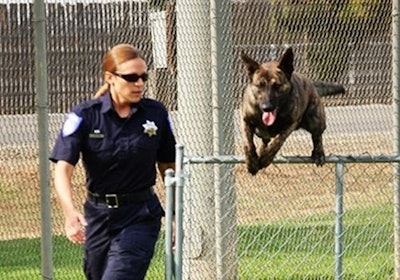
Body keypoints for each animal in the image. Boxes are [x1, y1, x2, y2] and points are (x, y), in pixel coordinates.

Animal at [239, 47, 346, 175]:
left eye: (277, 86)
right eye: (260, 85)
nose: (267, 107)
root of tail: (311, 84)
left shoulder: (291, 123)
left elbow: (277, 141)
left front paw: (265, 158)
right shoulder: (245, 120)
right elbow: (248, 144)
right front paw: (252, 163)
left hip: (315, 120)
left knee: (317, 136)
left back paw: (318, 153)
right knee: (265, 140)